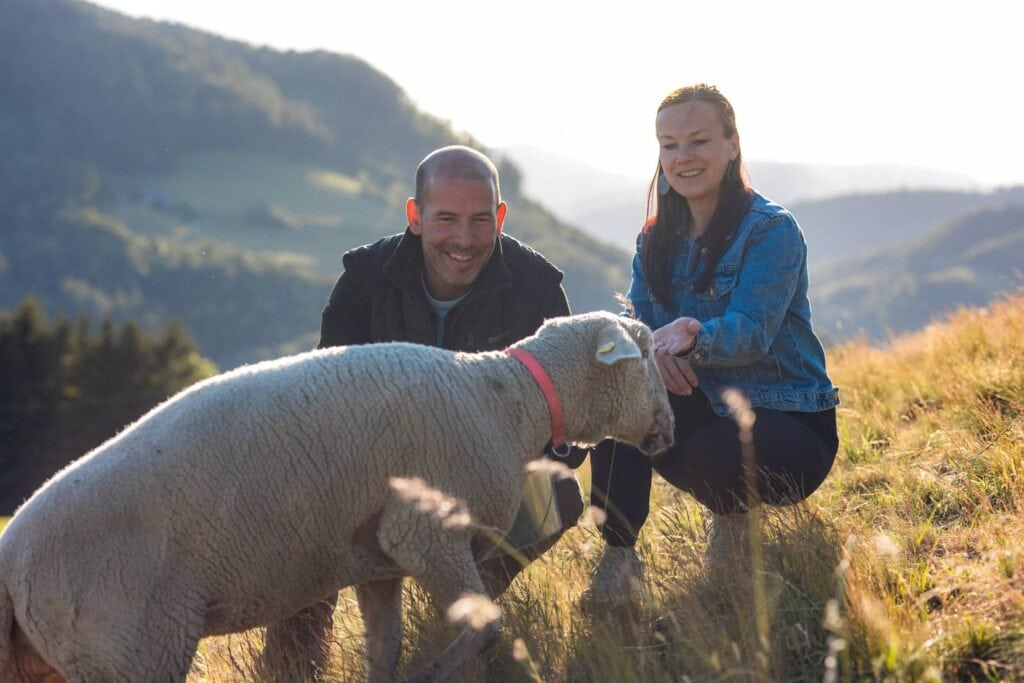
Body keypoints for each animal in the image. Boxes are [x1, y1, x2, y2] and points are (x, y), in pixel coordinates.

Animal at [0, 311, 674, 683]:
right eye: (646, 357)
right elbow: (484, 627)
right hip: (128, 645)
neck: (508, 399)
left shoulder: (377, 561)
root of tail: (10, 556)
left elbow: (385, 649)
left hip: (47, 657)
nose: (669, 430)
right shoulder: (426, 532)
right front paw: (432, 676)